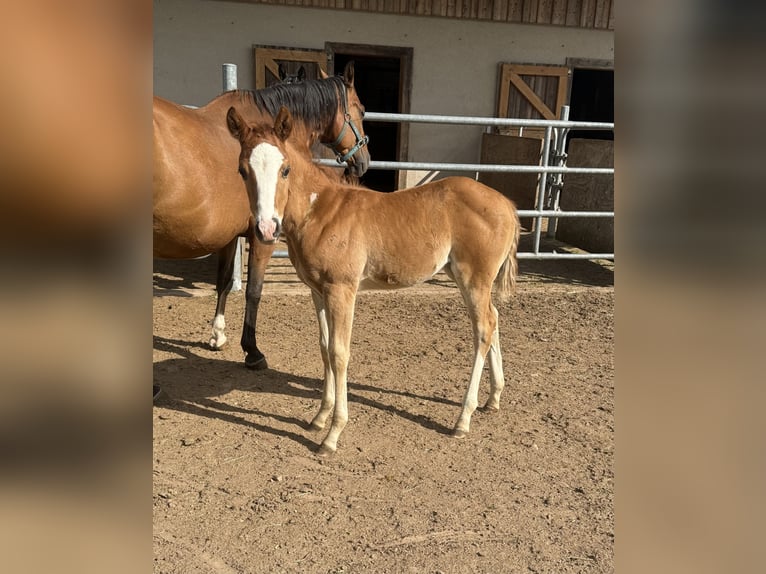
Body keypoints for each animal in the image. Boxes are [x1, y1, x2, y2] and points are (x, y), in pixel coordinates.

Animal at [153, 62, 370, 370]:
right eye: (361, 110)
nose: (363, 161)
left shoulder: (228, 236)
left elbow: (223, 282)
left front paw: (218, 335)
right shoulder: (263, 237)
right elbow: (253, 291)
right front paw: (252, 351)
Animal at [226, 106, 521, 455]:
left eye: (285, 170)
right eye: (243, 170)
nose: (267, 229)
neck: (320, 210)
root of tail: (507, 205)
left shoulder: (342, 289)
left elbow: (339, 353)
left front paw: (332, 434)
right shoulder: (317, 291)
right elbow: (324, 347)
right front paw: (319, 418)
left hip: (473, 277)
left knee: (483, 328)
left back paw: (463, 418)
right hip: (466, 277)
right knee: (495, 319)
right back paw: (493, 398)